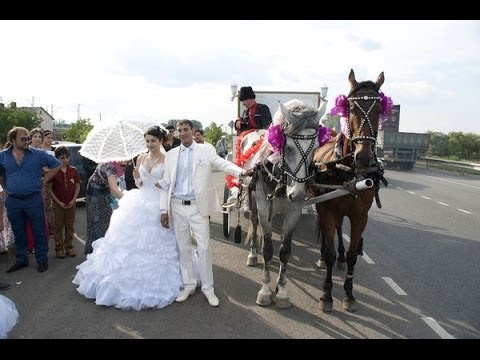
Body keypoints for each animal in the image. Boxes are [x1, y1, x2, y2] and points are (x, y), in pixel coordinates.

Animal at [314, 69, 388, 312]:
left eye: (378, 109)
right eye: (351, 107)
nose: (363, 157)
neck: (349, 172)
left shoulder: (360, 216)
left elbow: (353, 254)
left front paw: (348, 293)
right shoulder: (327, 209)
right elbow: (328, 252)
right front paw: (327, 295)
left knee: (339, 231)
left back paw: (341, 259)